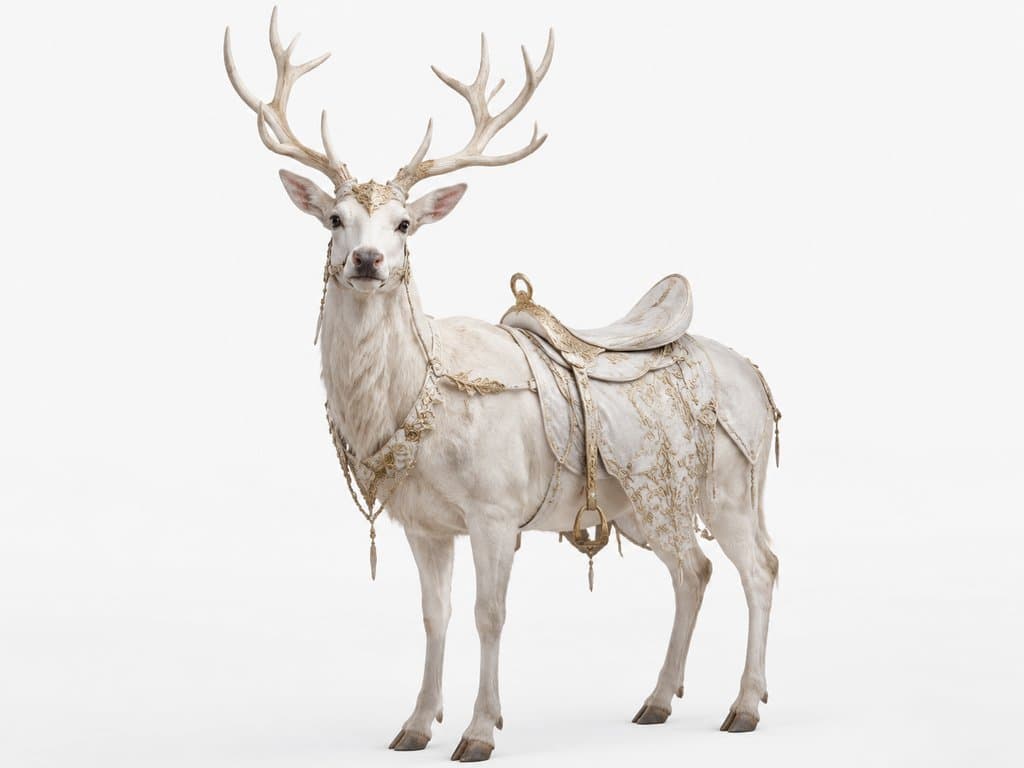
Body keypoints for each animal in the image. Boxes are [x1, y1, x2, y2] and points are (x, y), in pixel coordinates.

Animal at [225, 9, 781, 762]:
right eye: (336, 219)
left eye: (404, 223)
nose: (367, 260)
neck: (415, 403)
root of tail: (758, 377)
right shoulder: (423, 521)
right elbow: (434, 615)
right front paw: (414, 724)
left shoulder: (495, 509)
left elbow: (490, 615)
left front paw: (479, 731)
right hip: (643, 497)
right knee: (693, 568)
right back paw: (658, 701)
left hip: (731, 482)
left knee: (760, 566)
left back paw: (745, 706)